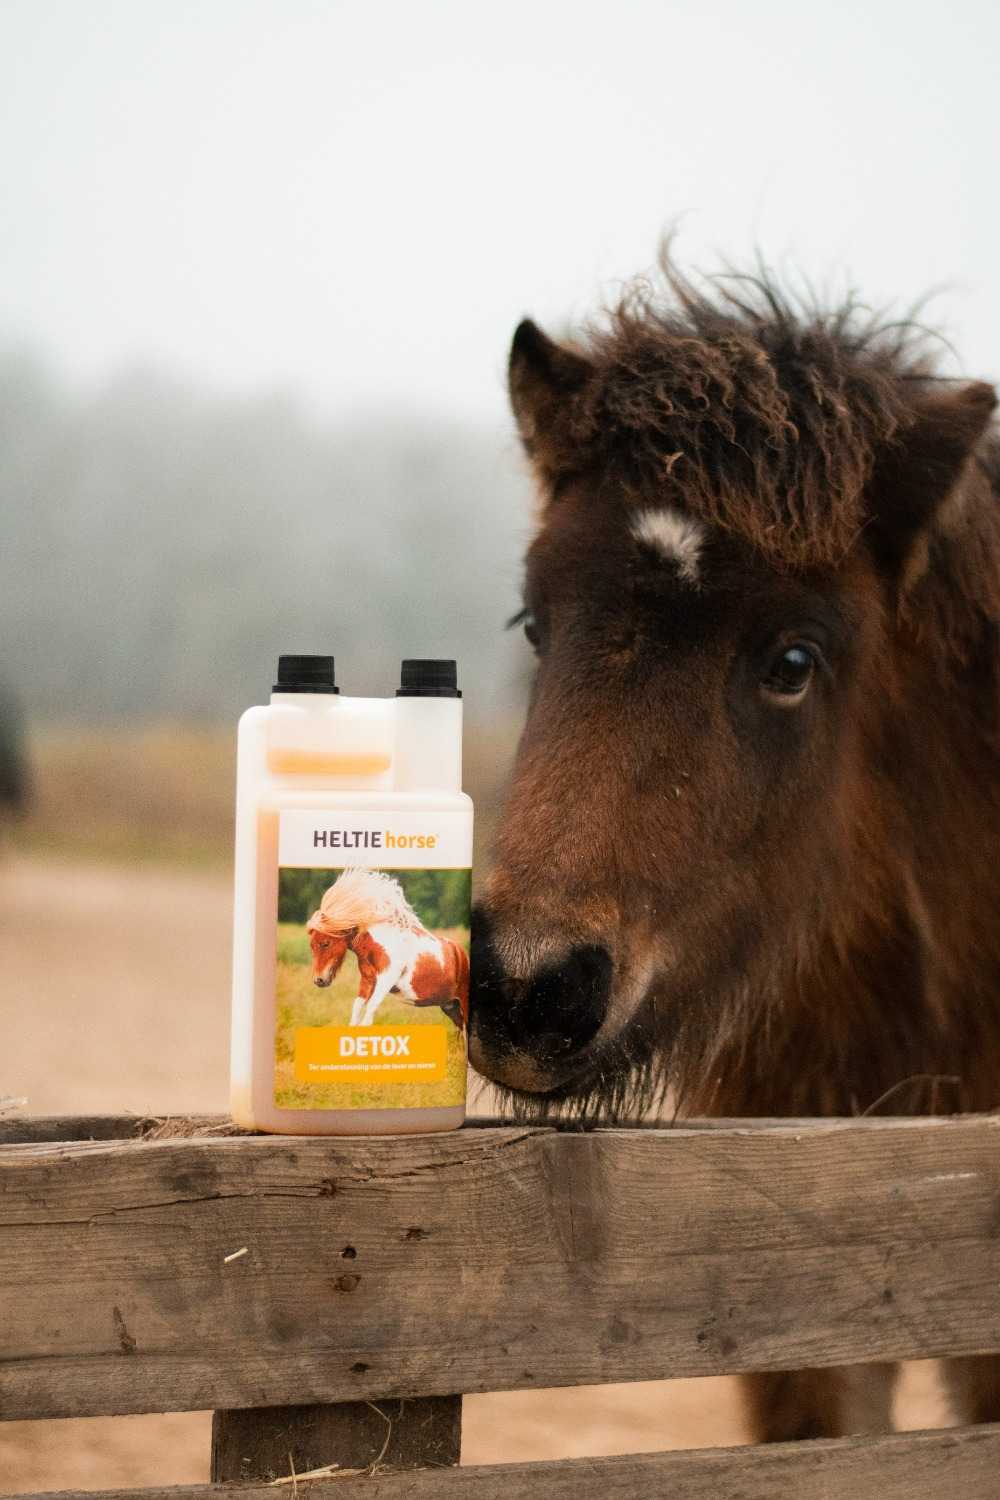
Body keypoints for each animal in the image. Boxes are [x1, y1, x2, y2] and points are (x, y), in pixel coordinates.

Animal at [306, 867, 469, 1030]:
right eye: (312, 945)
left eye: (326, 943)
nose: (318, 980)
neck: (383, 945)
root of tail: (461, 952)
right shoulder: (368, 980)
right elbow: (357, 1010)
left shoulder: (386, 979)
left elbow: (368, 1014)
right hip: (449, 1005)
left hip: (463, 1001)